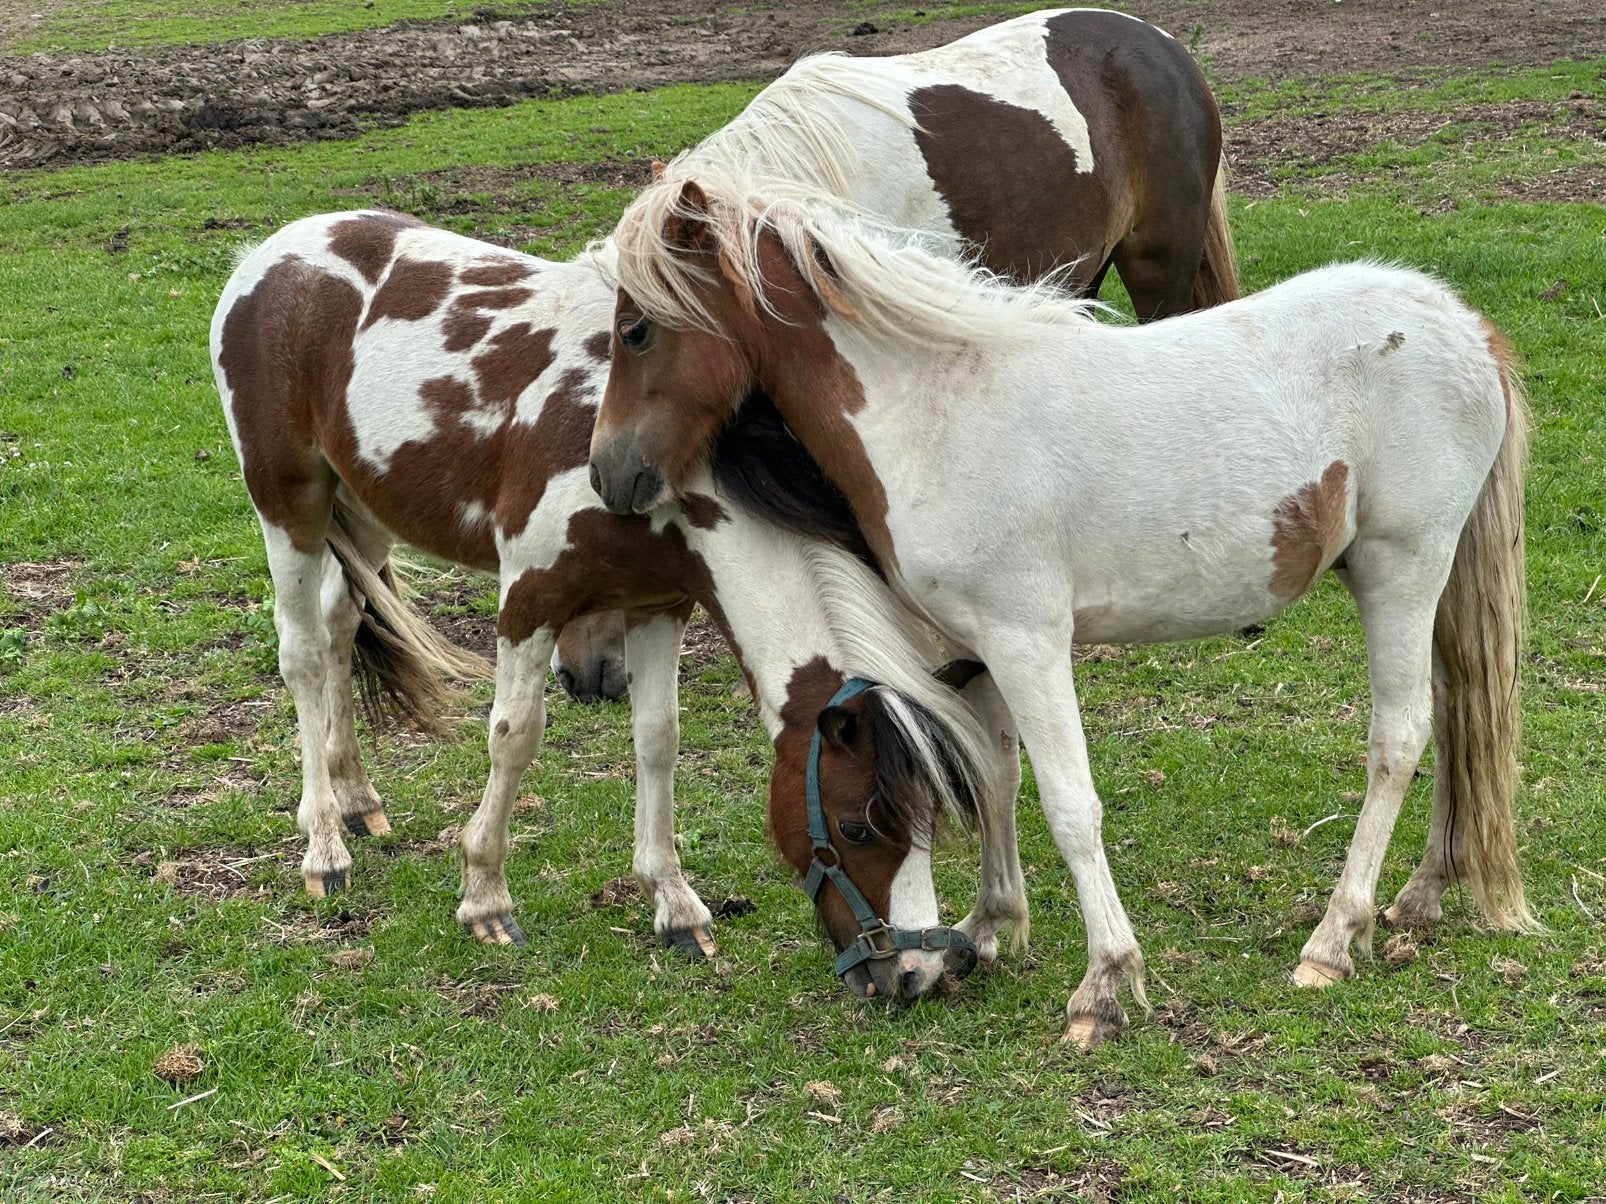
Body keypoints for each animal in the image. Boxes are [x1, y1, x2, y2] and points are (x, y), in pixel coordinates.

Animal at [210, 209, 1003, 1003]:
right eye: (856, 826)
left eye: (933, 818)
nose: (917, 973)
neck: (659, 467)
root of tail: (272, 254)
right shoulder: (531, 597)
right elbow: (514, 737)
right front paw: (485, 896)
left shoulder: (659, 604)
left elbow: (658, 740)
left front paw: (675, 905)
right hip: (290, 505)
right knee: (304, 657)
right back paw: (324, 845)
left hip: (366, 508)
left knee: (341, 629)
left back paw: (357, 798)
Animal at [587, 174, 1540, 1044]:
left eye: (636, 330)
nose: (609, 475)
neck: (933, 412)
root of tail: (1467, 327)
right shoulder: (979, 645)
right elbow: (996, 776)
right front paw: (990, 927)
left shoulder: (1029, 642)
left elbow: (1069, 804)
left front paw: (1105, 984)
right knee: (1460, 714)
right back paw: (1423, 894)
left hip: (1401, 571)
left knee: (1401, 738)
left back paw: (1336, 937)